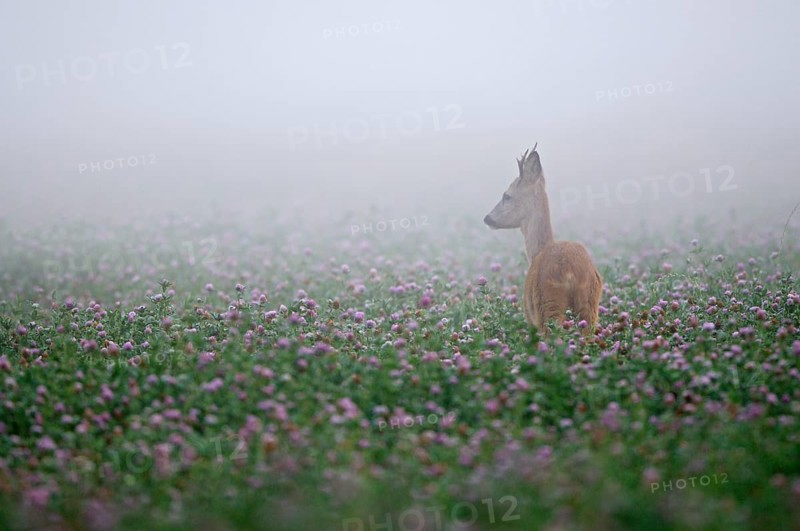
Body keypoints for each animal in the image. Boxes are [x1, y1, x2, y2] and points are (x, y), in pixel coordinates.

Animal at [483, 144, 602, 335]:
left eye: (507, 195)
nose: (487, 218)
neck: (538, 250)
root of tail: (571, 274)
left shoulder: (530, 316)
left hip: (547, 305)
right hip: (589, 307)